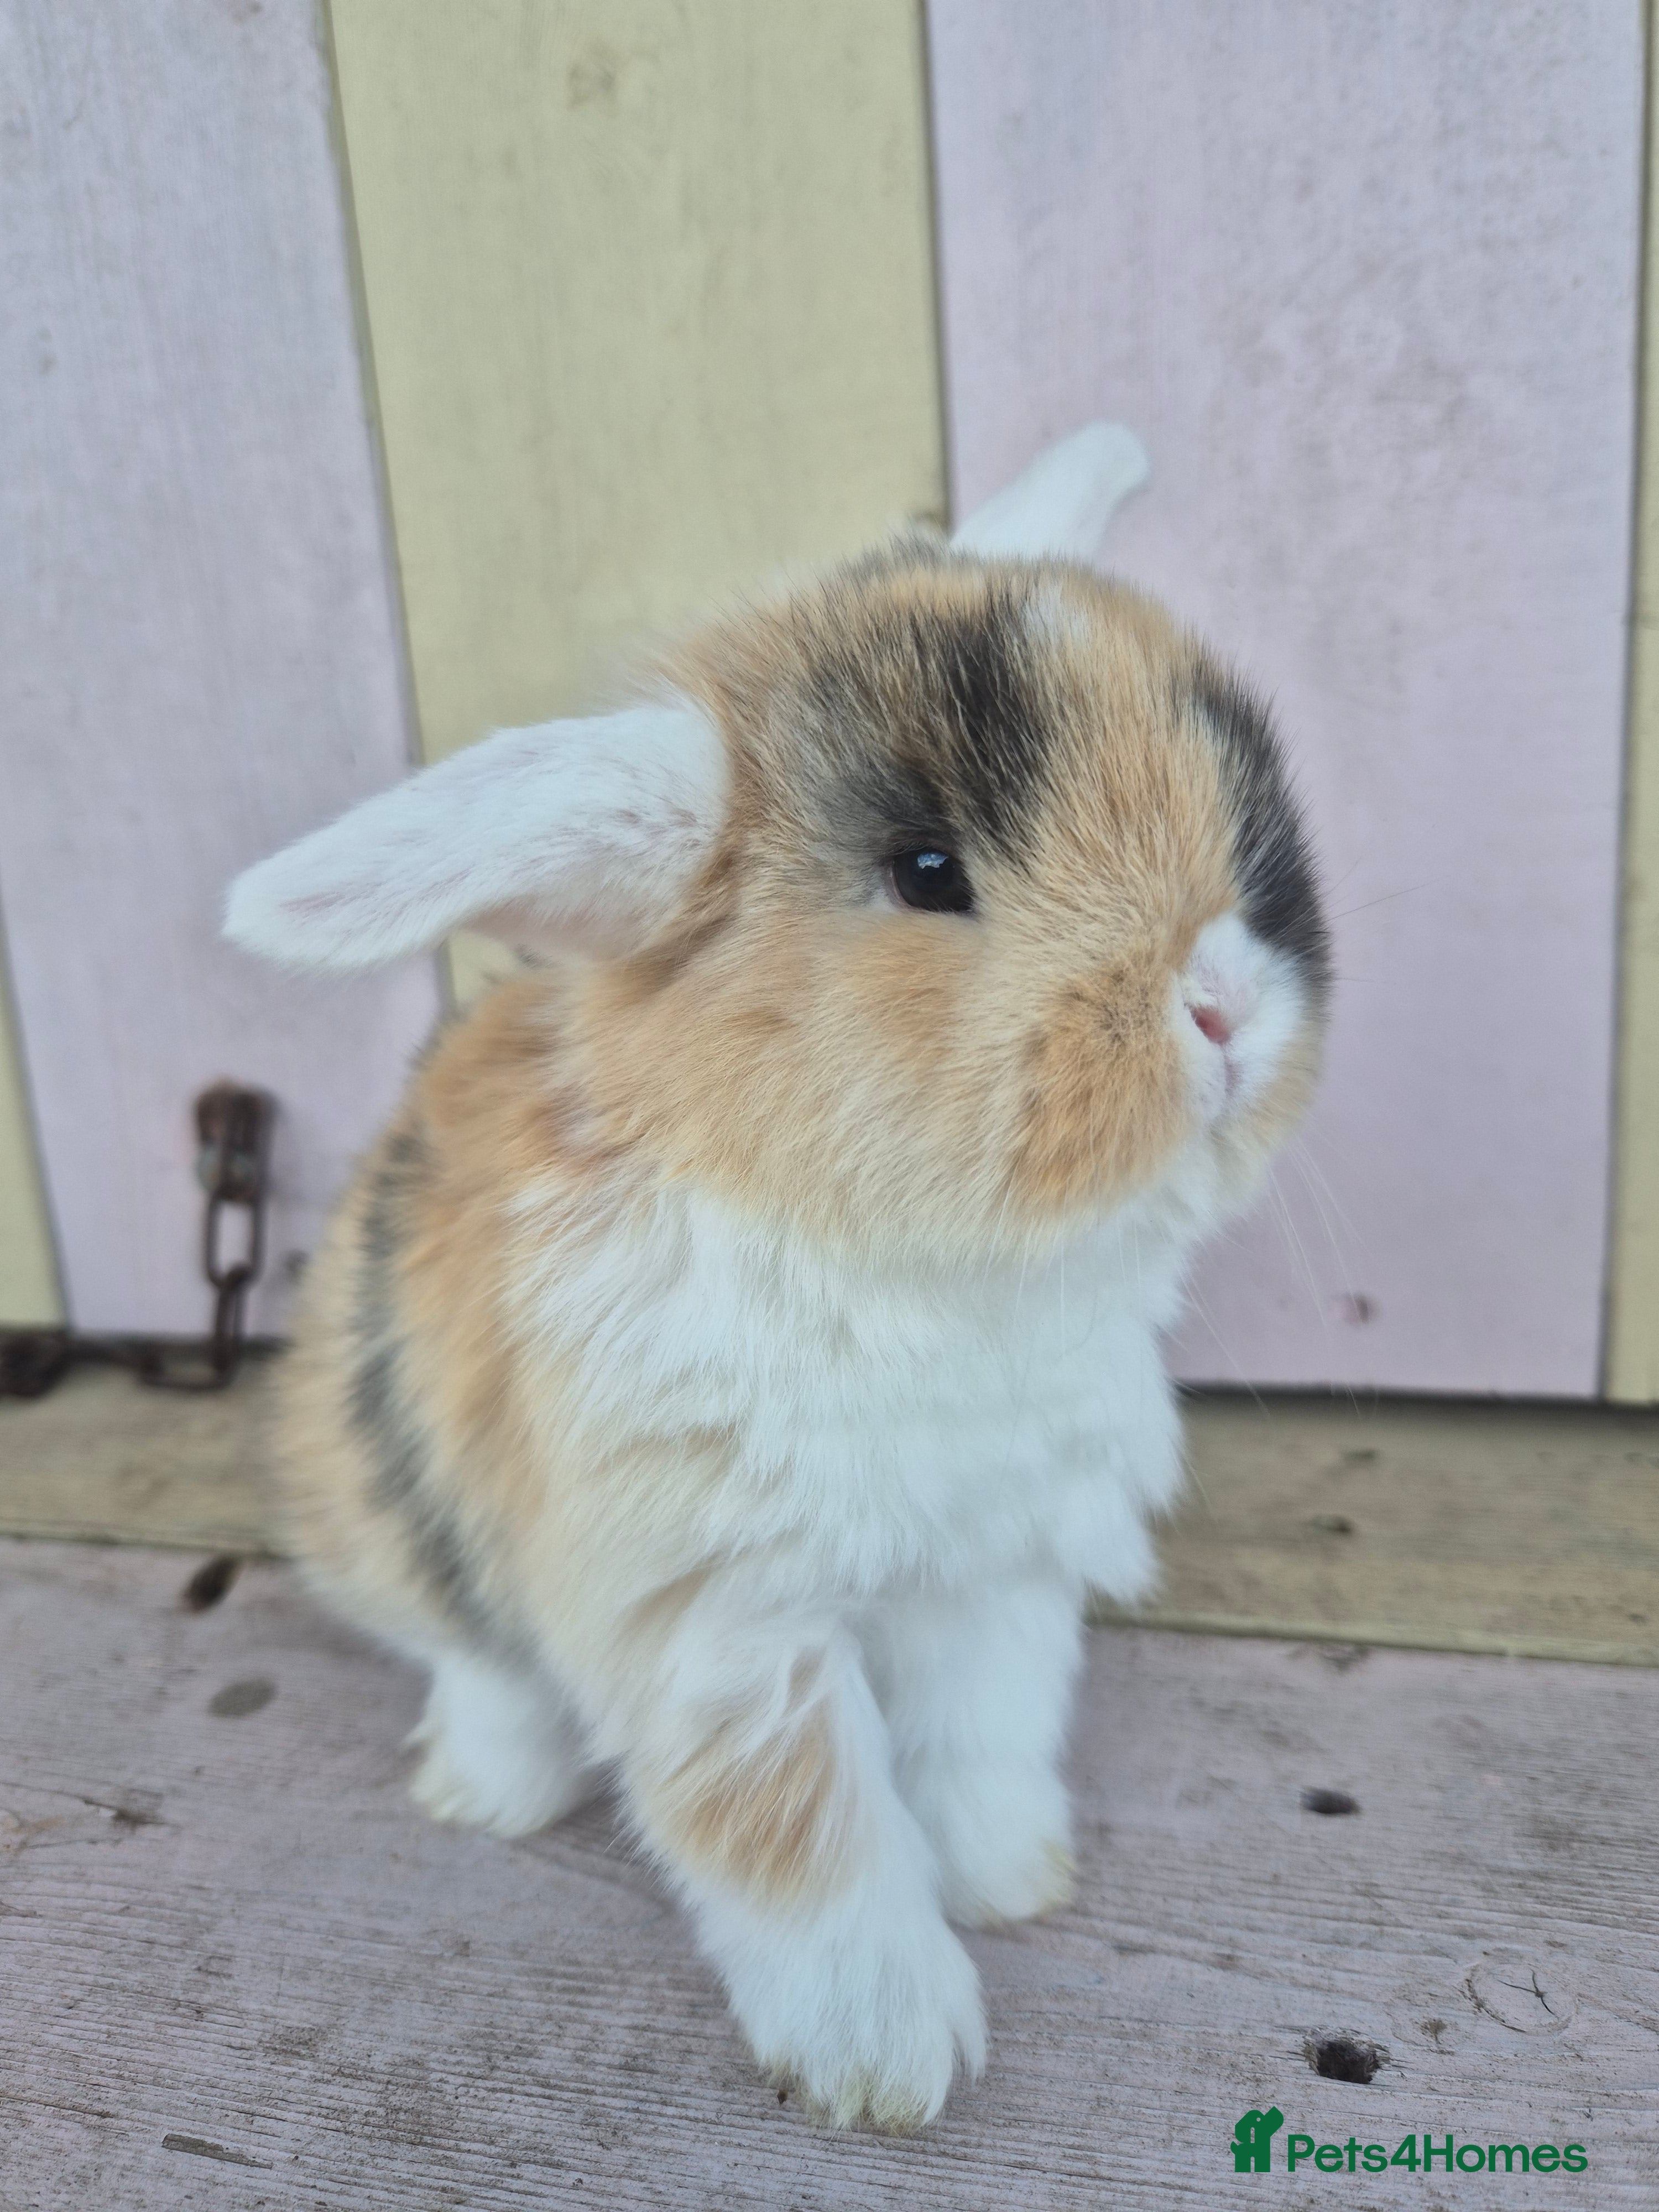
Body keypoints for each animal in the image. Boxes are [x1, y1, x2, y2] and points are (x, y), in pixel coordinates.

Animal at [225, 423, 1329, 2132]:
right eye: (927, 868)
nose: (1222, 1004)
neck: (922, 1267)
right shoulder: (717, 1620)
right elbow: (808, 1837)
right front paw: (891, 2057)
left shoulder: (993, 1575)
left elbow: (980, 1745)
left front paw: (1010, 1879)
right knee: (472, 1652)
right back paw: (486, 1792)